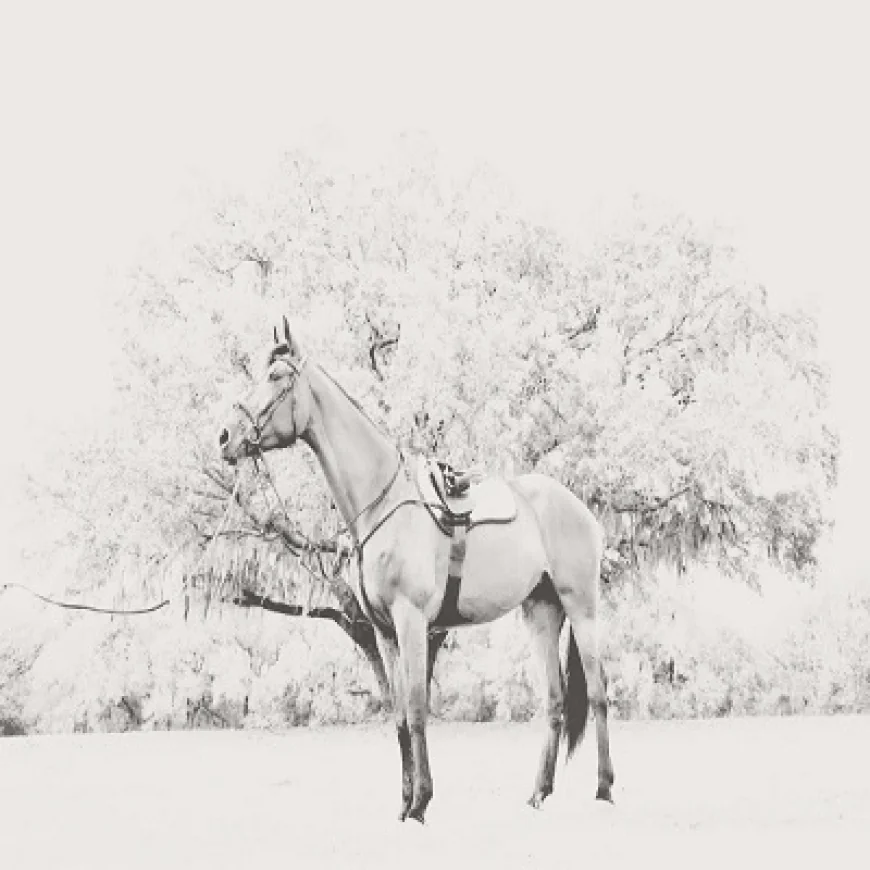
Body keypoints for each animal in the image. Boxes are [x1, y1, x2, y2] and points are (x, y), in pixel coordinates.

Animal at [219, 317, 614, 822]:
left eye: (275, 377)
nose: (225, 437)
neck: (383, 501)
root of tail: (578, 508)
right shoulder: (385, 631)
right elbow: (401, 717)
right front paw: (405, 804)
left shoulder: (411, 622)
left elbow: (419, 709)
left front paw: (422, 802)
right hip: (542, 613)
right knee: (556, 700)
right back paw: (537, 795)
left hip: (581, 608)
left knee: (599, 693)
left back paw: (603, 789)